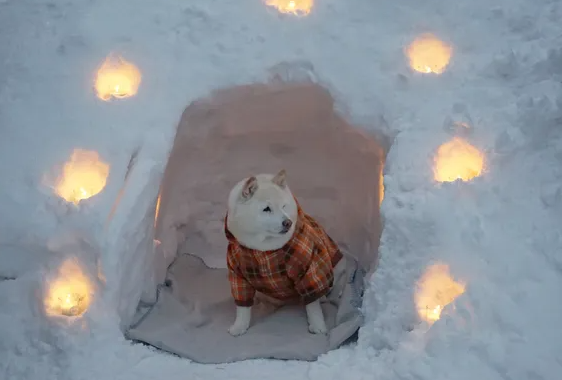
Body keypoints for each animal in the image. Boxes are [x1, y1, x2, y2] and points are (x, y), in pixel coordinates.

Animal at [223, 169, 342, 336]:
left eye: (284, 206)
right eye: (266, 209)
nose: (288, 223)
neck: (263, 250)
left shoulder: (309, 267)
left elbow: (313, 303)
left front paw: (318, 325)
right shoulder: (237, 272)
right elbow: (242, 306)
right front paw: (239, 326)